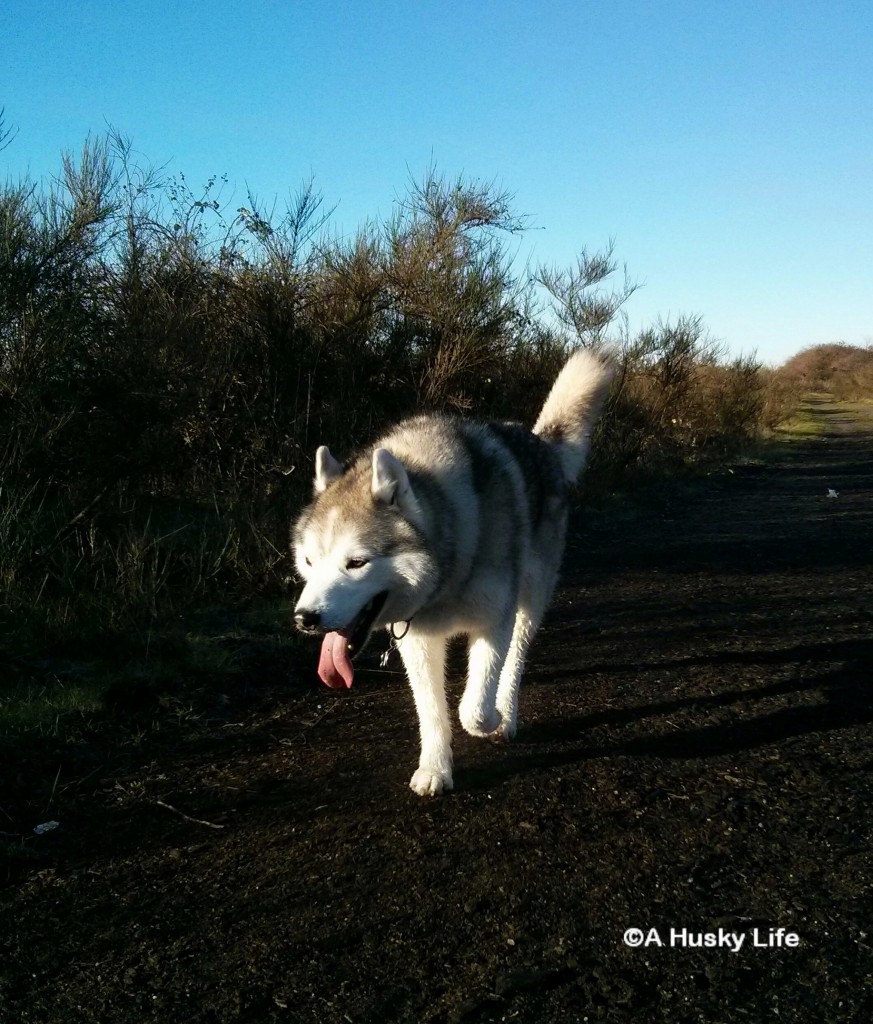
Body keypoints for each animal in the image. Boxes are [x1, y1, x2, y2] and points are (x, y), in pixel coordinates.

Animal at [292, 348, 614, 794]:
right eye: (309, 561)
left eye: (356, 562)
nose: (305, 618)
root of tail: (540, 442)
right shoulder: (417, 640)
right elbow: (431, 711)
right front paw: (435, 768)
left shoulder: (493, 622)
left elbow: (472, 707)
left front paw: (489, 719)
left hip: (530, 600)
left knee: (515, 660)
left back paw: (506, 712)